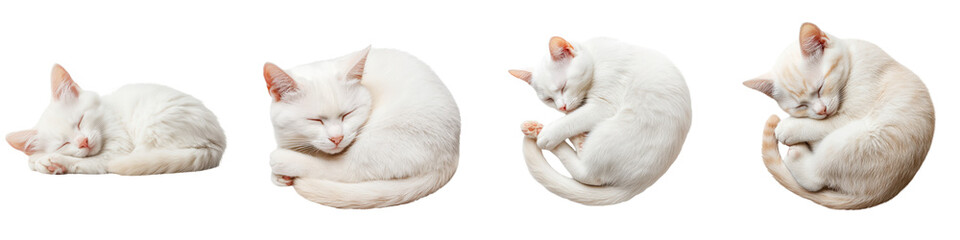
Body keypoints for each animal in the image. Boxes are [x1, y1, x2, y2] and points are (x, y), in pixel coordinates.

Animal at [7, 64, 227, 175]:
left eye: (80, 120)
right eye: (64, 143)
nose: (83, 142)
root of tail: (216, 144)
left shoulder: (119, 148)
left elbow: (90, 162)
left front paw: (52, 161)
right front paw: (44, 161)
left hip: (153, 127)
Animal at [260, 46, 460, 208]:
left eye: (348, 114)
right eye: (316, 120)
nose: (337, 138)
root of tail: (452, 153)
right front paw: (280, 177)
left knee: (344, 171)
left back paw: (284, 160)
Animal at [510, 36, 688, 205]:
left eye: (563, 86)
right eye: (548, 99)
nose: (562, 107)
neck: (595, 58)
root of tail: (638, 184)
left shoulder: (603, 105)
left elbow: (572, 120)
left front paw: (551, 133)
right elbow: (573, 115)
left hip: (610, 133)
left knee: (587, 174)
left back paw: (543, 134)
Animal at [744, 23, 936, 210]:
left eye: (820, 87)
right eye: (800, 106)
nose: (821, 110)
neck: (852, 59)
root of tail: (878, 194)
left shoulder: (857, 109)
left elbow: (823, 124)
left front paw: (789, 127)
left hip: (853, 140)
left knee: (814, 179)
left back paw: (797, 153)